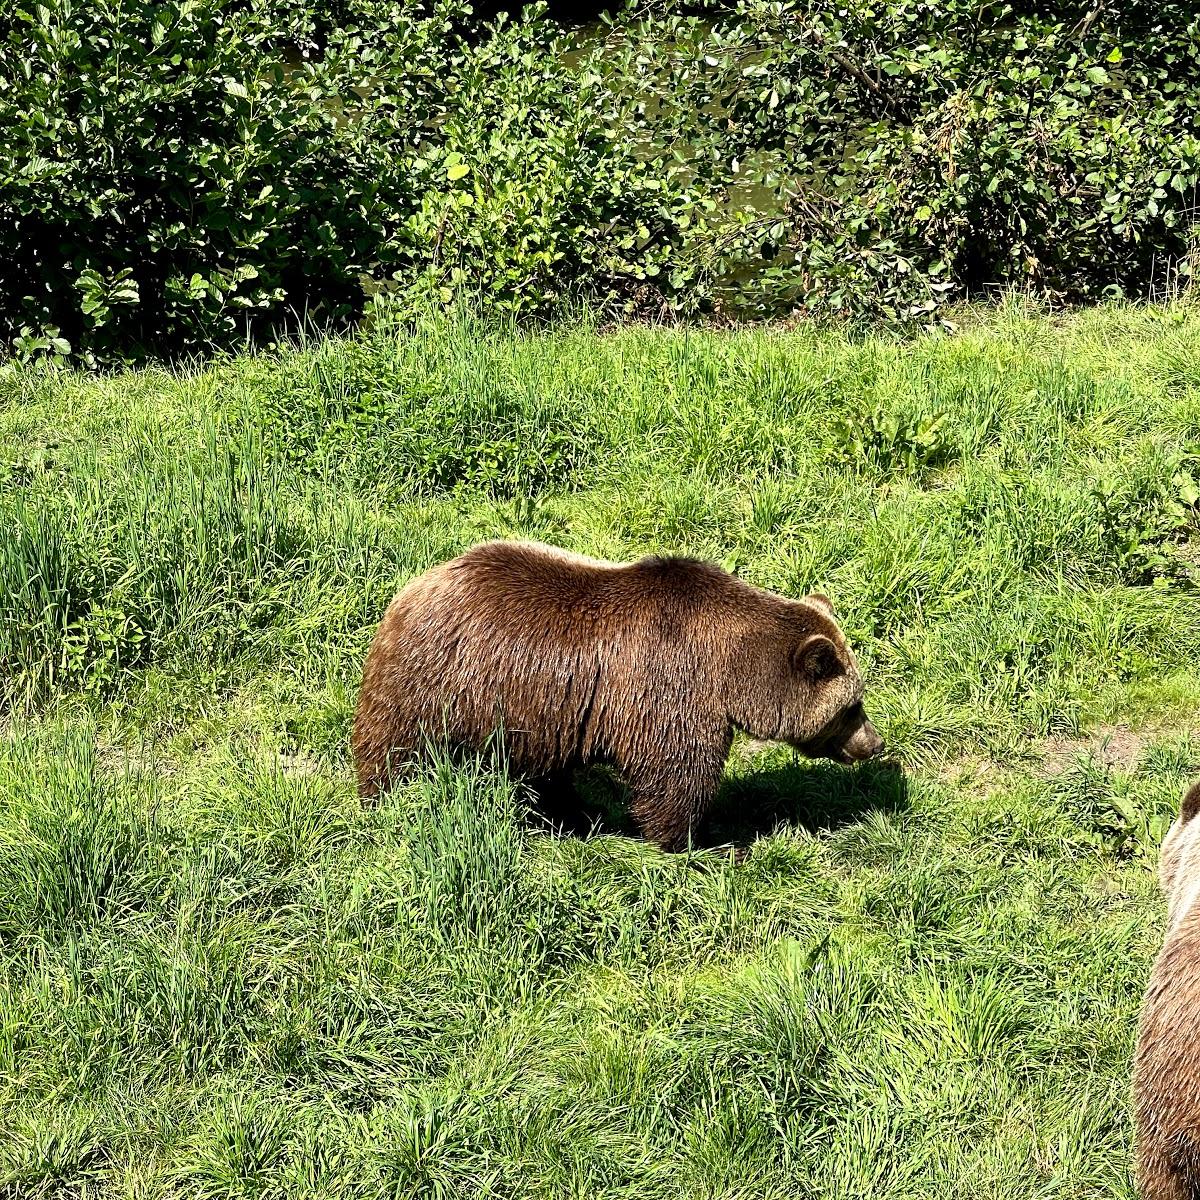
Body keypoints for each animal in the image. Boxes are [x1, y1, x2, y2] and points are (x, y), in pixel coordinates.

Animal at [350, 540, 888, 849]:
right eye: (852, 706)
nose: (876, 743)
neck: (730, 671)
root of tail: (414, 587)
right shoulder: (669, 689)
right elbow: (675, 779)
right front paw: (701, 843)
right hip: (436, 682)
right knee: (395, 749)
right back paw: (384, 800)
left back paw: (573, 815)